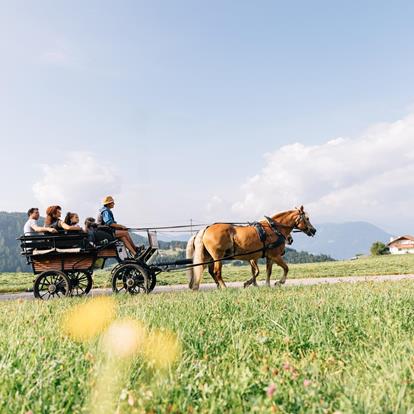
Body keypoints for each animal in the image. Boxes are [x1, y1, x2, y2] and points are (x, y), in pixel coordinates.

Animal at [186, 207, 316, 292]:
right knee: (217, 272)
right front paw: (279, 282)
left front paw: (266, 285)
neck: (274, 229)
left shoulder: (268, 257)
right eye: (307, 218)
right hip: (218, 256)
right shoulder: (275, 256)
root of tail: (207, 228)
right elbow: (286, 268)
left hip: (209, 257)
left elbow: (268, 271)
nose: (313, 230)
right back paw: (224, 287)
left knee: (207, 270)